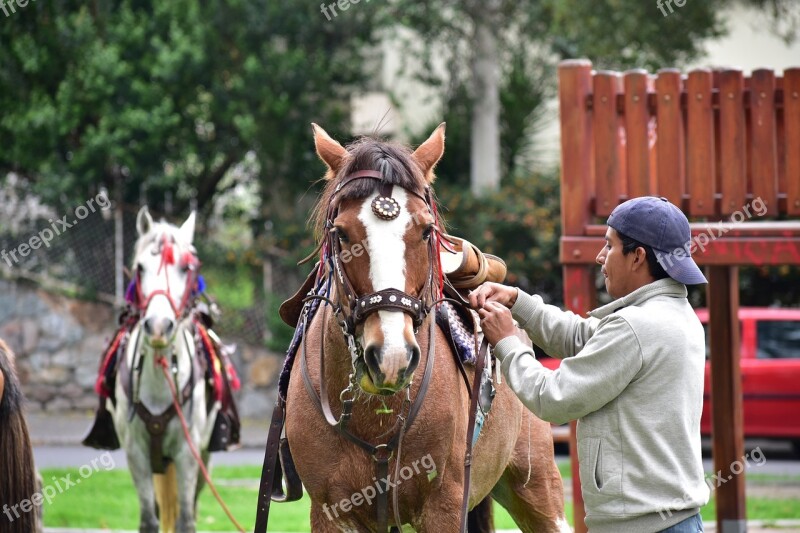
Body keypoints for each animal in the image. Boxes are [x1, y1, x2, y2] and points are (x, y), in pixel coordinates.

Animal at [112, 206, 219, 528]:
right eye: (140, 268)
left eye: (186, 269)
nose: (158, 326)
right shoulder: (136, 454)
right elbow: (148, 520)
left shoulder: (189, 453)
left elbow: (186, 520)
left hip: (204, 456)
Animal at [282, 125, 568, 532]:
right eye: (342, 234)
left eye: (425, 231)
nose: (391, 358)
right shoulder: (331, 512)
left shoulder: (443, 507)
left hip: (537, 487)